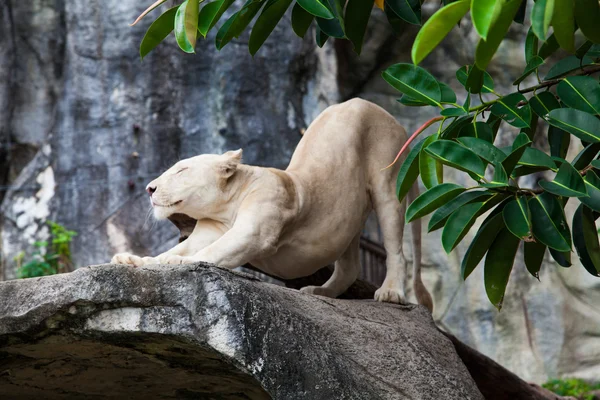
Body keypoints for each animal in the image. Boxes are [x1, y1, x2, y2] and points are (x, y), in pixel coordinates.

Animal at [111, 98, 432, 310]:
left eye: (181, 170)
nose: (149, 188)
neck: (225, 207)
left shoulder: (256, 230)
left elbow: (214, 251)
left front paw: (177, 263)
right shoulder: (208, 230)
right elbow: (182, 248)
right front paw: (134, 260)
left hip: (388, 180)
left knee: (396, 247)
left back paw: (390, 293)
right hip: (348, 218)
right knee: (350, 266)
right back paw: (319, 291)